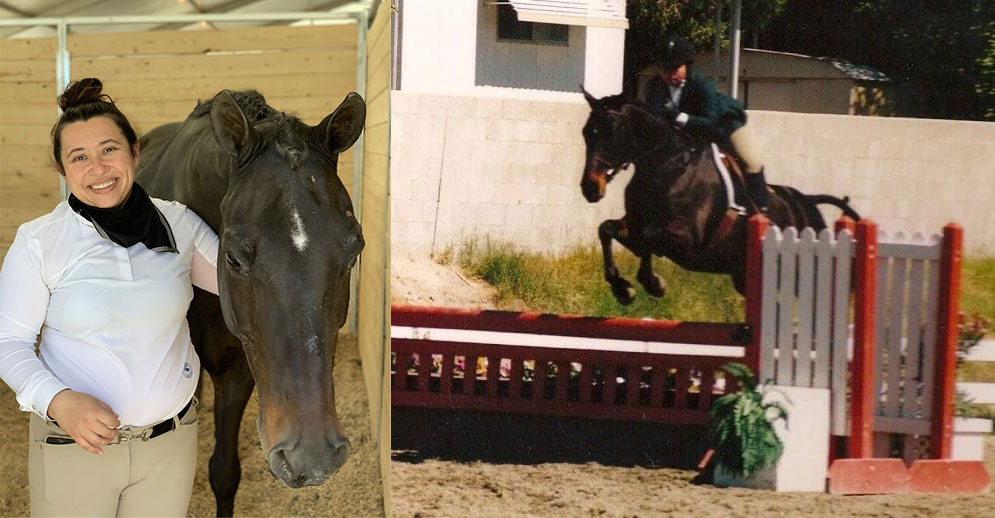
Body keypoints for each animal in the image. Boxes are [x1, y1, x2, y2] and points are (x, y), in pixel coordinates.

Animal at [579, 90, 859, 304]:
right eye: (586, 132)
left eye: (612, 132)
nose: (589, 188)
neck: (667, 165)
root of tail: (807, 202)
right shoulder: (636, 222)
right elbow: (607, 229)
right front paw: (624, 288)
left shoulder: (689, 235)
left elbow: (648, 236)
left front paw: (651, 282)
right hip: (745, 278)